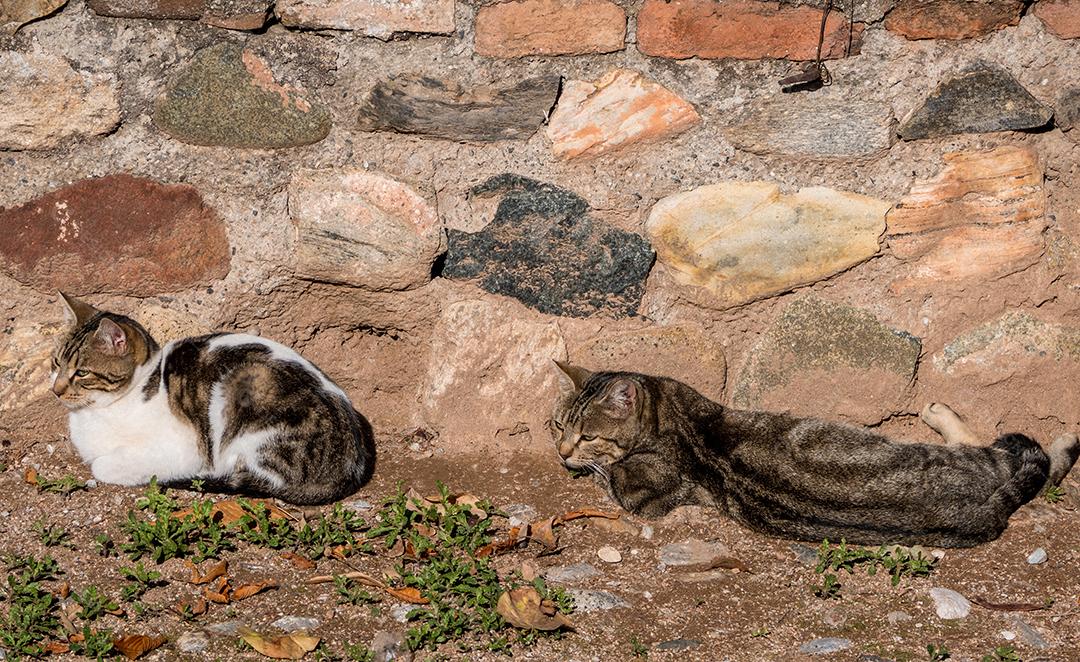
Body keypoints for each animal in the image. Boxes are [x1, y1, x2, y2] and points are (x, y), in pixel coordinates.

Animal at [50, 291, 375, 503]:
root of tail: (351, 464)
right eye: (55, 363)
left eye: (81, 373)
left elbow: (101, 465)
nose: (56, 389)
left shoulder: (183, 448)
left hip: (246, 383)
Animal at [552, 360, 1075, 546]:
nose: (561, 451)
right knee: (1033, 463)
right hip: (983, 460)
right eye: (559, 426)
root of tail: (983, 515)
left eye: (587, 435)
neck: (671, 418)